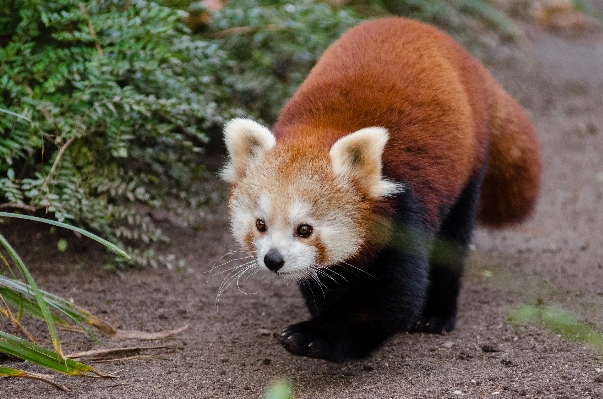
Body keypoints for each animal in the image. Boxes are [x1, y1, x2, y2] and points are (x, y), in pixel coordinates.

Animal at [221, 18, 544, 362]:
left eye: (304, 229)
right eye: (260, 224)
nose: (273, 260)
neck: (320, 129)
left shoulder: (405, 205)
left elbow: (391, 296)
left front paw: (317, 335)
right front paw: (321, 311)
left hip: (468, 165)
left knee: (452, 238)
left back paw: (436, 314)